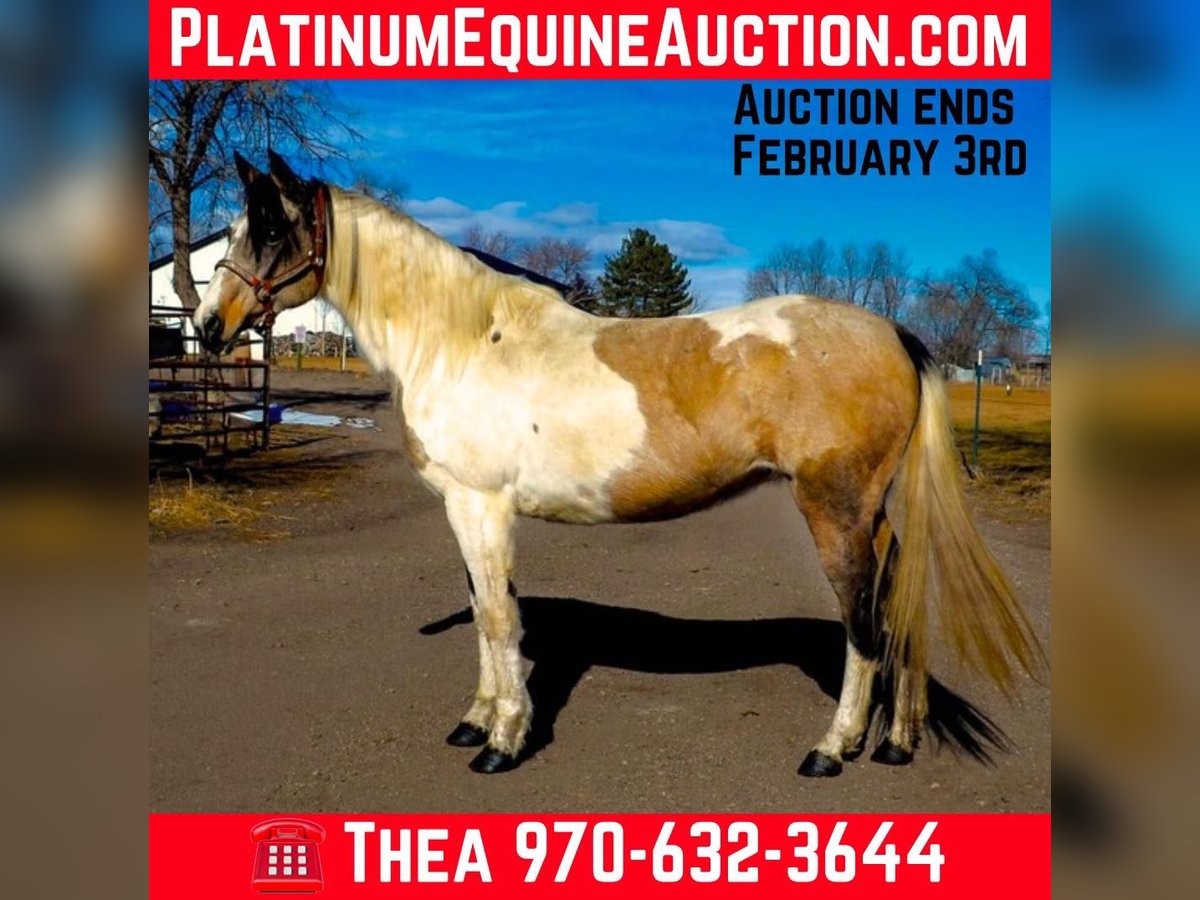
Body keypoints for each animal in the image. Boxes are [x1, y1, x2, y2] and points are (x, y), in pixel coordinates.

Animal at [195, 151, 1044, 776]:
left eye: (269, 230)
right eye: (233, 231)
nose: (207, 324)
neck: (462, 340)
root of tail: (892, 333)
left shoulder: (480, 504)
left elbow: (498, 618)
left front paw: (504, 741)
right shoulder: (463, 509)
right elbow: (485, 612)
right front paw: (476, 721)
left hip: (835, 511)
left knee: (864, 621)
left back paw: (833, 750)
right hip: (875, 512)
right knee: (900, 602)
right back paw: (897, 741)